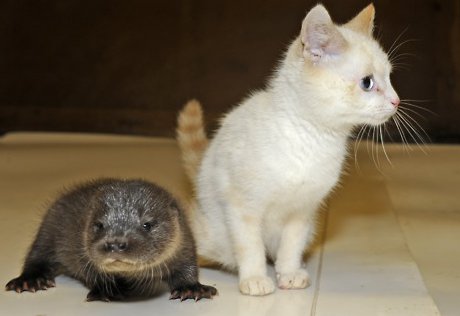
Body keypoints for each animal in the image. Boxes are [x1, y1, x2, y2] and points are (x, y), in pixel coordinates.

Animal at [4, 178, 217, 302]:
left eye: (147, 224)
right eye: (99, 225)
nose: (115, 243)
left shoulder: (185, 243)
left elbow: (187, 267)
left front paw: (191, 289)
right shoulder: (80, 250)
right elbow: (90, 272)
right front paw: (107, 290)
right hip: (49, 228)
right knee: (37, 255)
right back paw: (29, 280)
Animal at [176, 3, 398, 296]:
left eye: (390, 77)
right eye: (367, 83)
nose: (396, 101)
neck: (308, 137)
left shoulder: (302, 210)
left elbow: (291, 244)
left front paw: (289, 273)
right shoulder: (242, 206)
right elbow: (250, 246)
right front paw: (255, 278)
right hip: (211, 232)